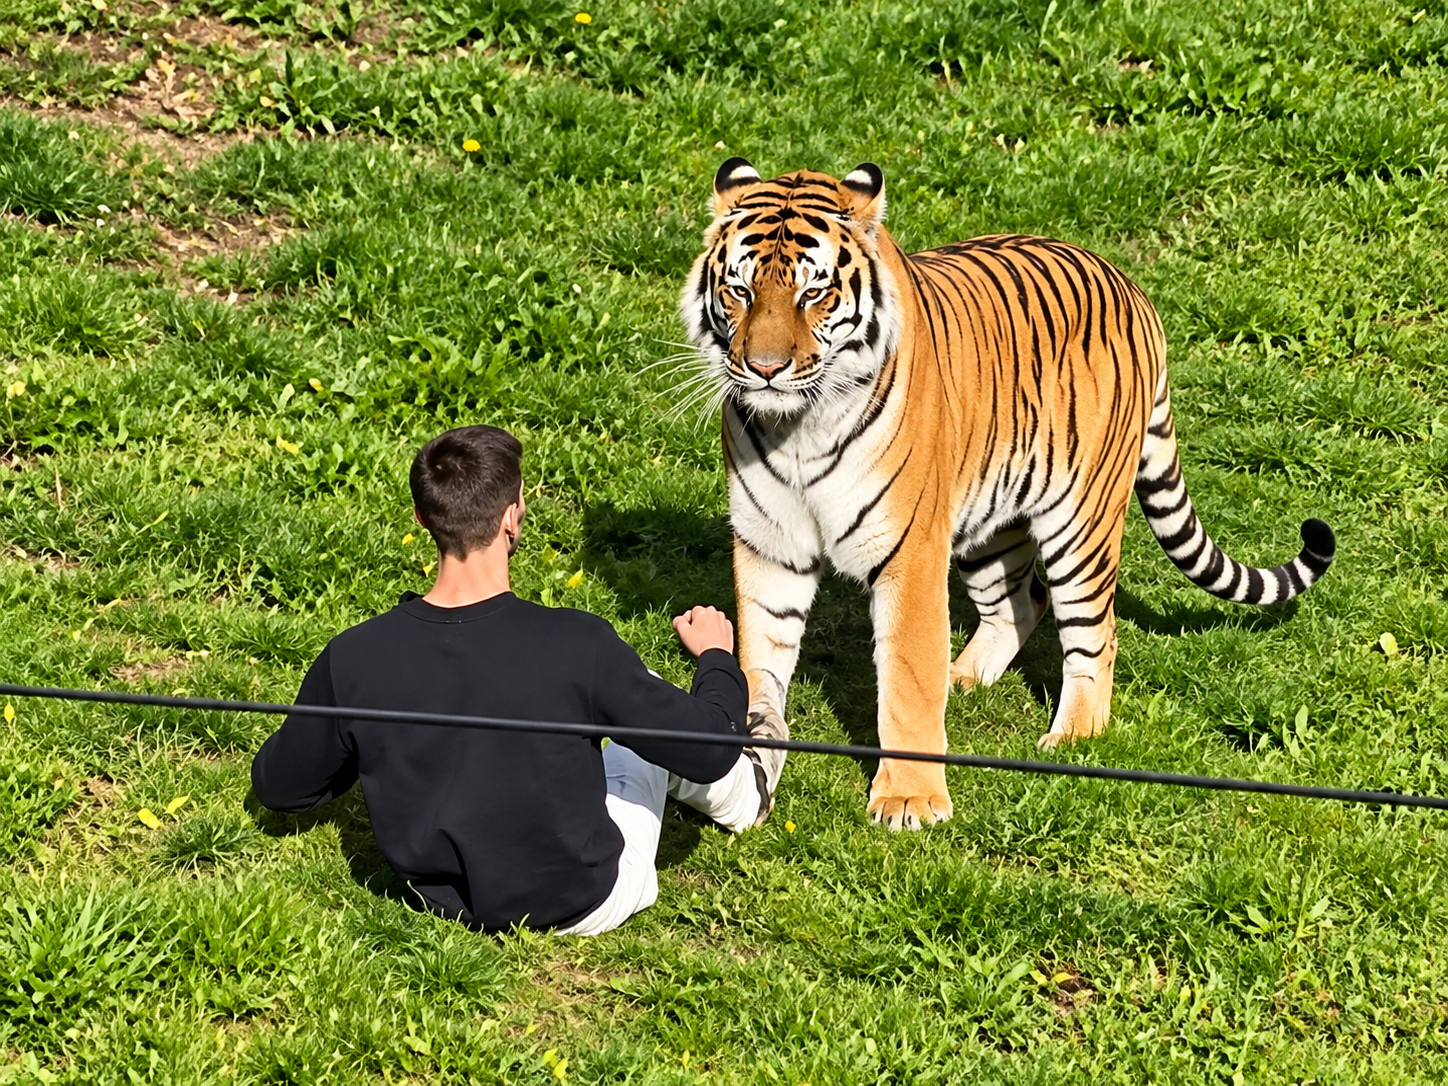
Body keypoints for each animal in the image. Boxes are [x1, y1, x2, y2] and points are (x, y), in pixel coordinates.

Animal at [678, 158, 1337, 831]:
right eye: (740, 291)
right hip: (987, 519)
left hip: (1081, 523)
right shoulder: (770, 546)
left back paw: (1072, 736)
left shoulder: (909, 551)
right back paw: (962, 677)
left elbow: (908, 675)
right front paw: (752, 759)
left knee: (1095, 633)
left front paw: (910, 799)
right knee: (1022, 600)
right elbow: (760, 658)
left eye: (813, 294)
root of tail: (1131, 287)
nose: (764, 369)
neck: (800, 428)